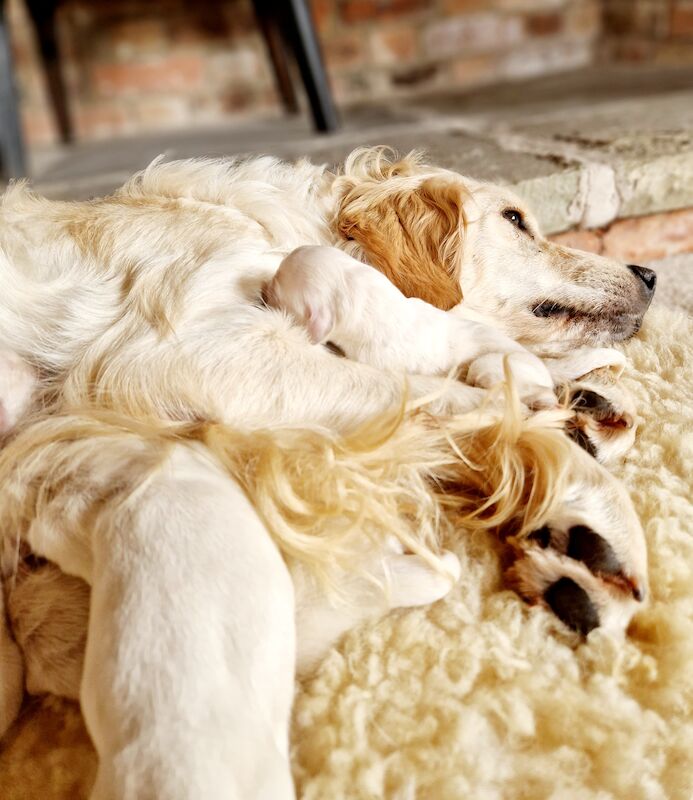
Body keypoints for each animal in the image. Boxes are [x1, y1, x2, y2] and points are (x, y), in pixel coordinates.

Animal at [0, 148, 660, 792]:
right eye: (515, 219)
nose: (651, 274)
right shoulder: (190, 353)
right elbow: (467, 403)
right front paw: (595, 513)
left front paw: (584, 414)